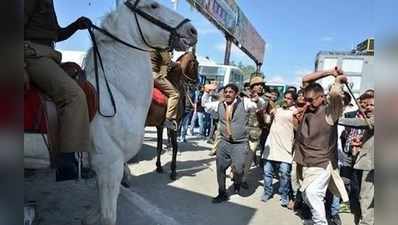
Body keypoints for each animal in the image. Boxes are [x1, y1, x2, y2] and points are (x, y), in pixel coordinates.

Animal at [83, 0, 197, 224]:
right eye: (153, 5)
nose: (192, 30)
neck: (115, 93)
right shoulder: (108, 162)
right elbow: (174, 147)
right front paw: (172, 171)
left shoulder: (160, 125)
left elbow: (160, 145)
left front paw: (159, 166)